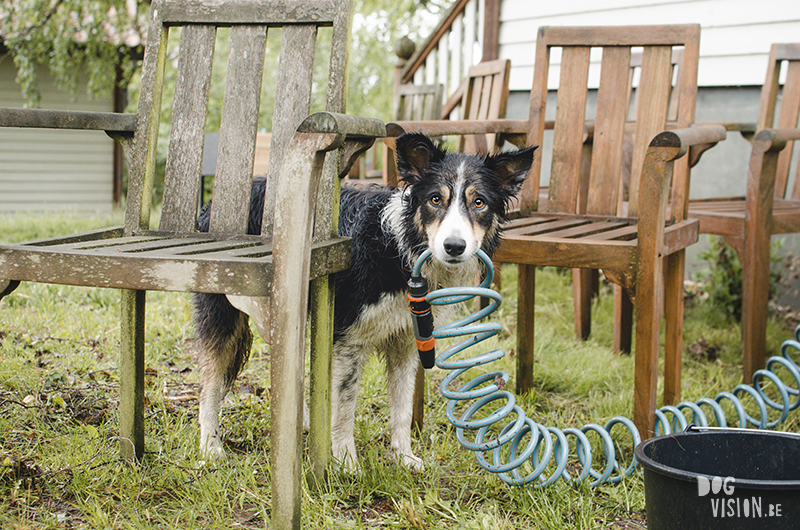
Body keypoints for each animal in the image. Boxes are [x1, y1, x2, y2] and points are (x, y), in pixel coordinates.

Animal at [191, 133, 536, 470]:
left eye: (479, 202)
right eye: (435, 199)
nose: (454, 246)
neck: (399, 252)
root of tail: (213, 208)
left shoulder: (407, 341)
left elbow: (402, 405)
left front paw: (403, 457)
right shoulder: (348, 339)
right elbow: (345, 406)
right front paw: (345, 461)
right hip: (227, 310)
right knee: (210, 381)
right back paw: (210, 446)